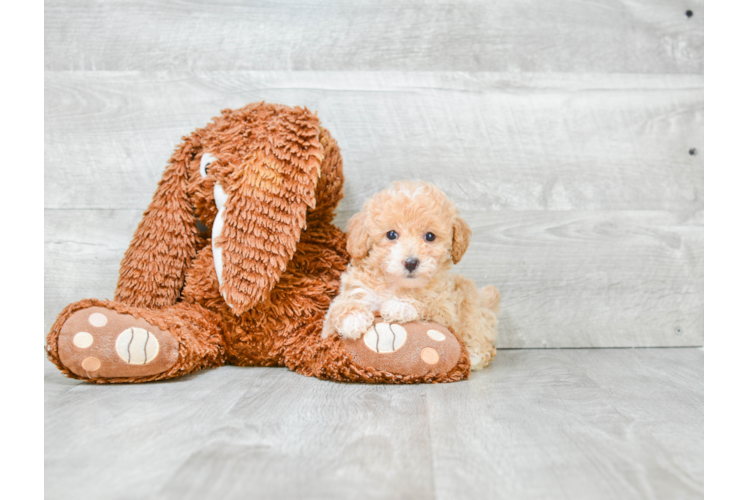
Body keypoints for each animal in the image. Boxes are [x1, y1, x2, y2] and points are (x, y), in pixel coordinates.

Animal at [322, 180, 502, 368]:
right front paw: (353, 319)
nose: (411, 262)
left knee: (482, 341)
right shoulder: (349, 300)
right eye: (391, 234)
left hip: (472, 311)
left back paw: (472, 357)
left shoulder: (445, 310)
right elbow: (338, 308)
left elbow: (426, 302)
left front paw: (399, 306)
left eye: (430, 236)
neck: (396, 284)